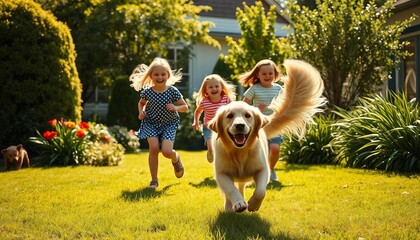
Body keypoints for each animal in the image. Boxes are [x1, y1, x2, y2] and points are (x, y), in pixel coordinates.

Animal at [208, 59, 326, 212]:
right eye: (229, 116)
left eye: (247, 115)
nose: (239, 125)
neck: (240, 152)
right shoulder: (222, 173)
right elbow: (230, 189)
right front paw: (238, 203)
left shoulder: (263, 169)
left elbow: (260, 191)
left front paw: (253, 204)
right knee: (234, 189)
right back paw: (230, 205)